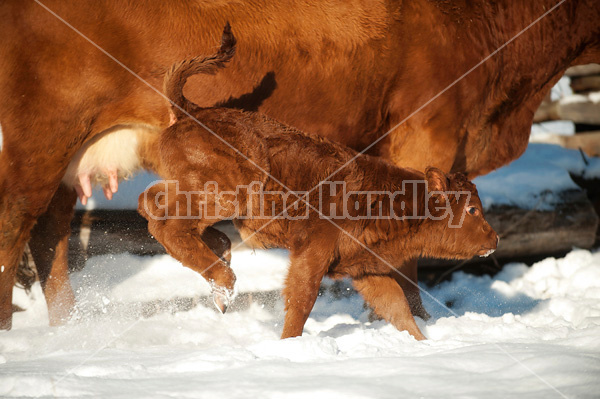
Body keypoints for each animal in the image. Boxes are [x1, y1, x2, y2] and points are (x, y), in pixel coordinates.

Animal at [0, 0, 596, 332]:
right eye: (470, 210)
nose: (493, 240)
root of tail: (190, 109)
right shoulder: (427, 134)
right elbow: (343, 293)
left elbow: (394, 297)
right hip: (51, 147)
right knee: (32, 224)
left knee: (77, 227)